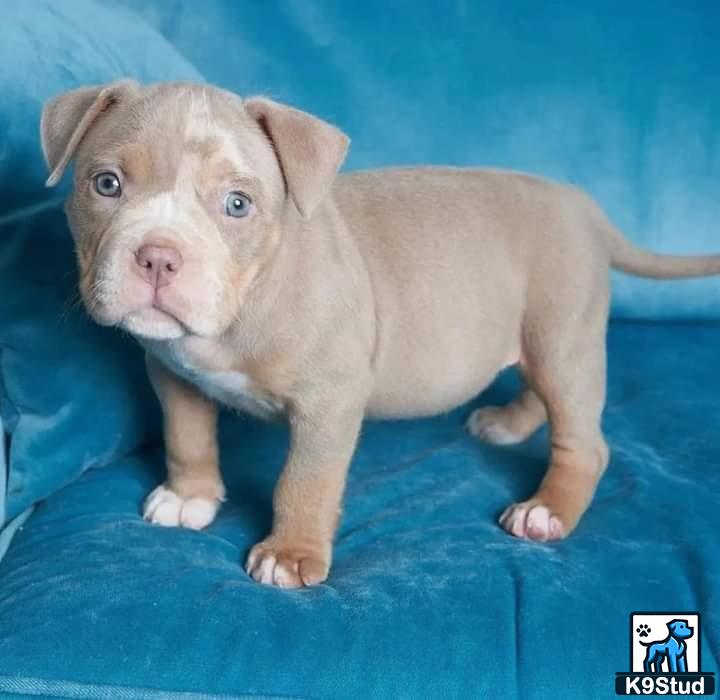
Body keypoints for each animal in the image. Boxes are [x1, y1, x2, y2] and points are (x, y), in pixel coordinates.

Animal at [40, 79, 720, 588]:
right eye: (106, 184)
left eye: (237, 204)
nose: (158, 257)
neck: (246, 299)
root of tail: (586, 207)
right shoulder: (172, 372)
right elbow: (186, 437)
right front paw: (191, 495)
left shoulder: (330, 401)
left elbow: (304, 481)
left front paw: (291, 554)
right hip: (538, 332)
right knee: (536, 385)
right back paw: (508, 423)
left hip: (563, 330)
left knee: (585, 439)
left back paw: (547, 509)